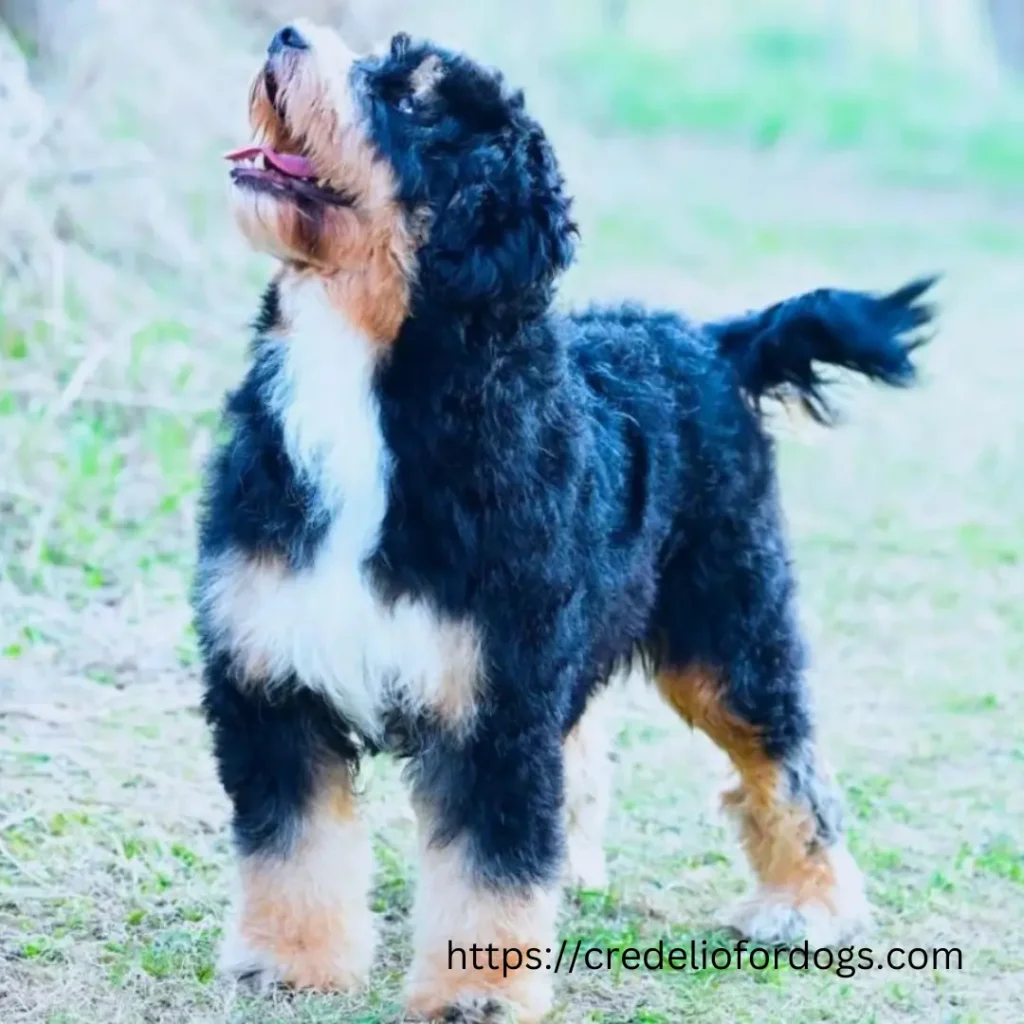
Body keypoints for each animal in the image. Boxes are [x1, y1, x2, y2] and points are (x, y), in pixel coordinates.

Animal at [192, 19, 937, 1019]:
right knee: (586, 748)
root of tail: (709, 339)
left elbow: (490, 862)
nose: (286, 31)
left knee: (782, 765)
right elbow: (291, 843)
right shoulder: (275, 672)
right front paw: (290, 961)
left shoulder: (497, 700)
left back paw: (808, 904)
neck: (371, 384)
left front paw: (477, 991)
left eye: (414, 98)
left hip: (727, 625)